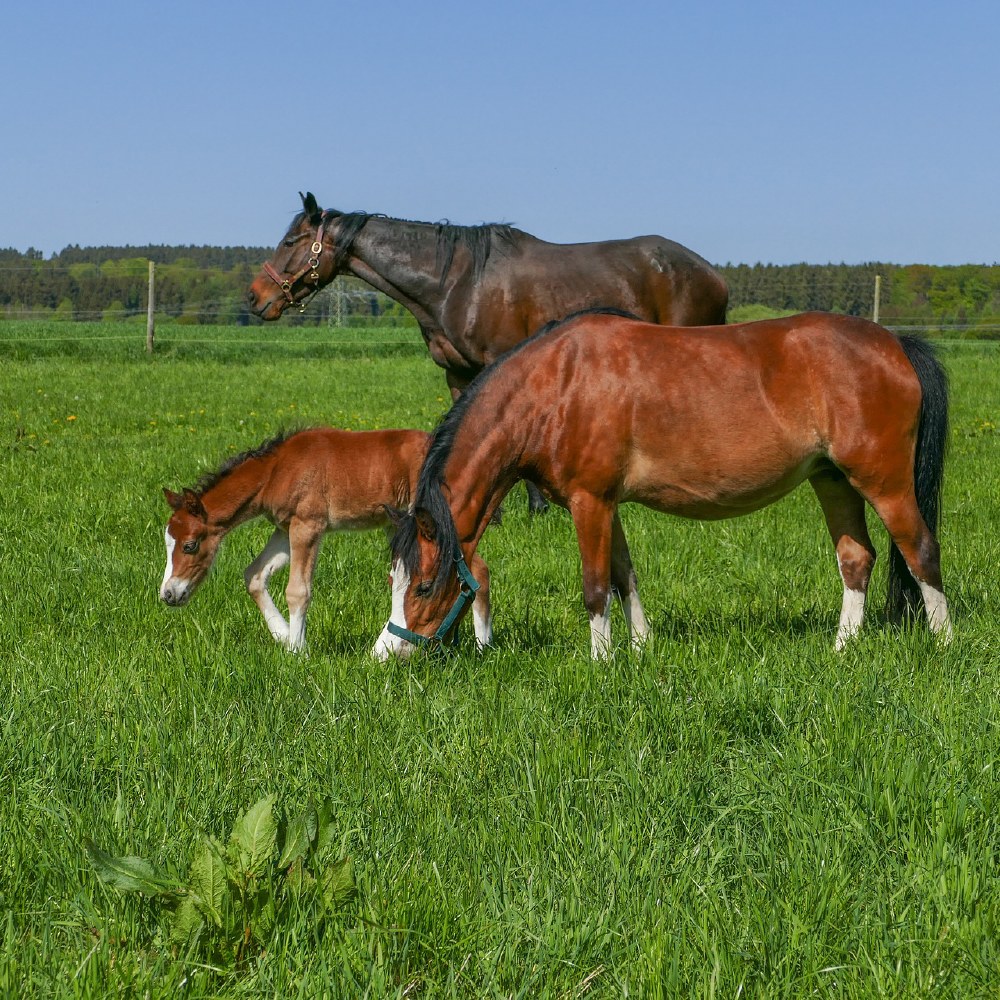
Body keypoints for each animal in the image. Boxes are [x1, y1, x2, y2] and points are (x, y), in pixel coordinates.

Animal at [159, 427, 493, 653]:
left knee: (477, 568)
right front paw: (283, 636)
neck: (276, 470)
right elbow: (254, 574)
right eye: (168, 543)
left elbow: (298, 591)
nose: (168, 595)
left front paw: (297, 651)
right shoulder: (286, 527)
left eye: (189, 545)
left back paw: (482, 647)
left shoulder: (308, 525)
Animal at [247, 191, 729, 514]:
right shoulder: (457, 374)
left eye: (291, 241)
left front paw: (536, 506)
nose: (255, 297)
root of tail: (712, 274)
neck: (457, 282)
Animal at [372, 310, 952, 660]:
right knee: (857, 558)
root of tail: (894, 343)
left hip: (884, 482)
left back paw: (944, 644)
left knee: (921, 550)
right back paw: (842, 648)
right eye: (393, 580)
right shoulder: (607, 504)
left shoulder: (588, 502)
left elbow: (595, 586)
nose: (385, 653)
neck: (555, 385)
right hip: (832, 480)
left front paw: (600, 661)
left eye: (423, 585)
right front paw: (640, 647)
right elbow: (624, 576)